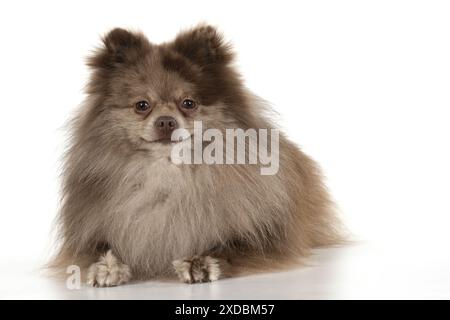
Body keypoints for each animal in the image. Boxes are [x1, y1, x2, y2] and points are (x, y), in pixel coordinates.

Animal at [51, 23, 342, 286]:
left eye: (188, 103)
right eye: (142, 105)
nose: (166, 121)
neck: (167, 173)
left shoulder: (265, 235)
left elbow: (232, 247)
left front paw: (200, 263)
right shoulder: (92, 230)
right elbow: (100, 248)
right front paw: (108, 267)